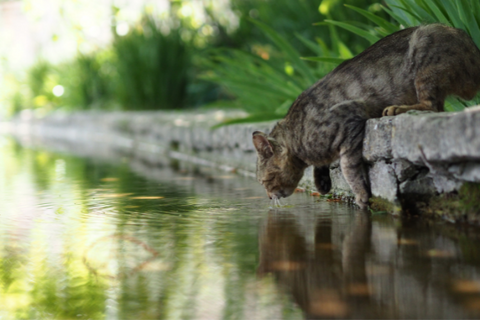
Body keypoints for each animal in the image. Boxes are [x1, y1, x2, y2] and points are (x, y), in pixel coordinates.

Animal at [251, 25, 480, 210]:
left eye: (264, 181)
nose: (269, 197)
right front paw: (322, 182)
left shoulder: (350, 118)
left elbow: (348, 167)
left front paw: (360, 195)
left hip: (424, 59)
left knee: (431, 106)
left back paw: (395, 108)